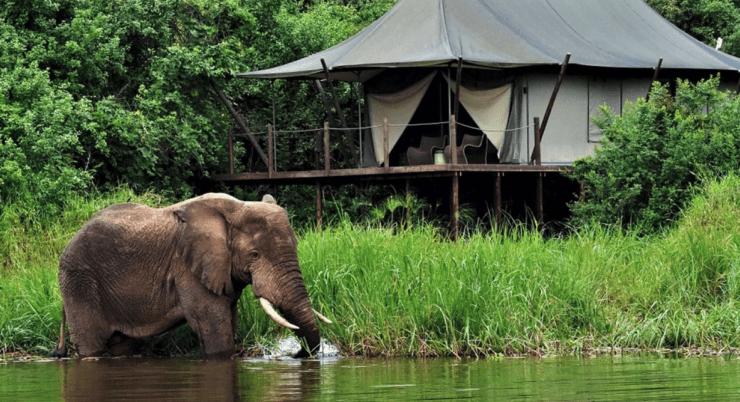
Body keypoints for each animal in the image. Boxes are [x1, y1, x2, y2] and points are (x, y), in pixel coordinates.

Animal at [50, 193, 330, 360]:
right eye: (254, 254)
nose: (295, 355)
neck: (235, 208)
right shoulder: (187, 268)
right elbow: (214, 325)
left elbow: (229, 317)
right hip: (79, 281)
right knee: (92, 344)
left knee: (121, 345)